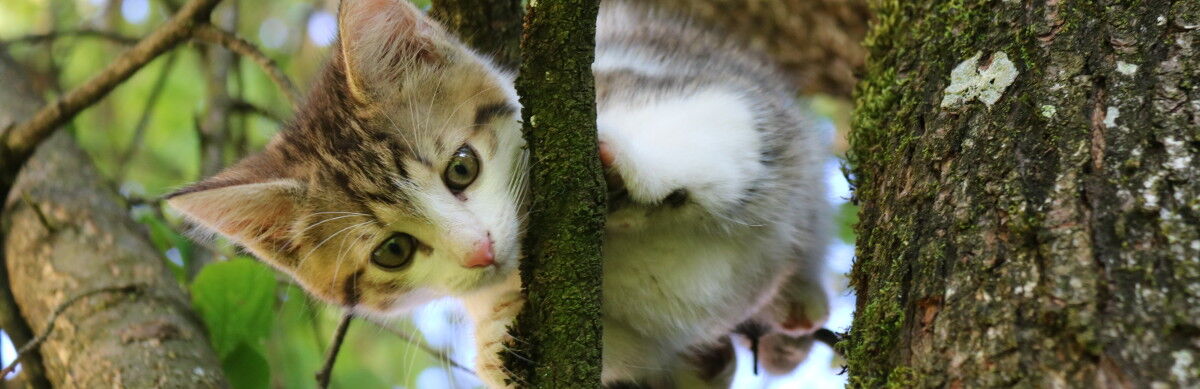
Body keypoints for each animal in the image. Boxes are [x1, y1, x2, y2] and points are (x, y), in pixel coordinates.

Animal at [164, 0, 830, 386]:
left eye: (462, 169)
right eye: (392, 251)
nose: (479, 251)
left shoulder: (706, 90)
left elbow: (714, 123)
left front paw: (621, 170)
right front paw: (494, 341)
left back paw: (798, 298)